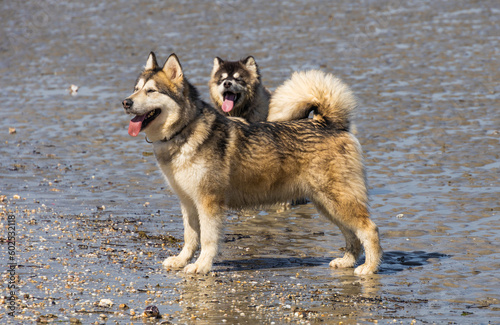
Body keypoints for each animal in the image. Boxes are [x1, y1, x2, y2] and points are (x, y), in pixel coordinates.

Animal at [122, 52, 382, 274]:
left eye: (151, 91)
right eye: (136, 89)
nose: (125, 102)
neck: (184, 131)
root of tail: (327, 122)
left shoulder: (209, 203)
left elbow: (207, 239)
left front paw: (202, 265)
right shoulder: (188, 202)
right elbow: (190, 237)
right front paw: (182, 260)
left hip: (337, 199)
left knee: (369, 229)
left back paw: (369, 267)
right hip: (326, 203)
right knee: (351, 234)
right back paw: (347, 260)